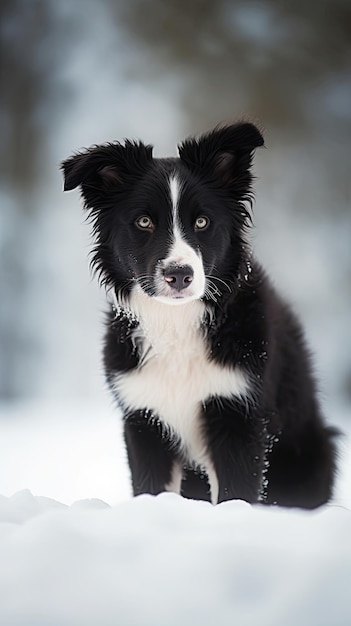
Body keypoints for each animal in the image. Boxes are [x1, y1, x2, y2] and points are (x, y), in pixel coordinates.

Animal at [62, 122, 338, 508]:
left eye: (203, 221)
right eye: (144, 221)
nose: (179, 275)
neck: (177, 324)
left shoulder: (238, 417)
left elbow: (236, 495)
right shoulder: (145, 419)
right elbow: (152, 489)